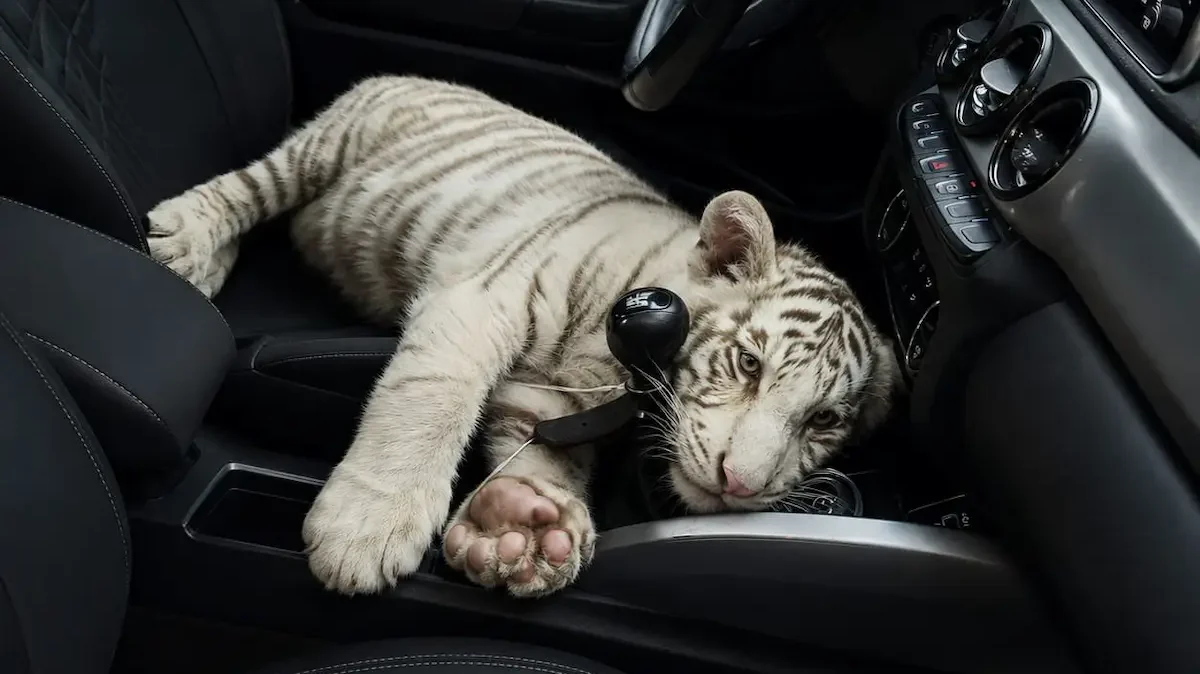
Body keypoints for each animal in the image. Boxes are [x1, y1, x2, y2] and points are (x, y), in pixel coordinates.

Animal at [145, 75, 902, 598]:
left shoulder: (553, 397)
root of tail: (416, 75)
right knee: (250, 187)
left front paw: (524, 527)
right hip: (326, 147)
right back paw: (185, 242)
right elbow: (429, 403)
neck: (619, 368)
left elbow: (543, 456)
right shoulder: (481, 299)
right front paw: (366, 528)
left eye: (823, 420)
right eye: (748, 364)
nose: (740, 485)